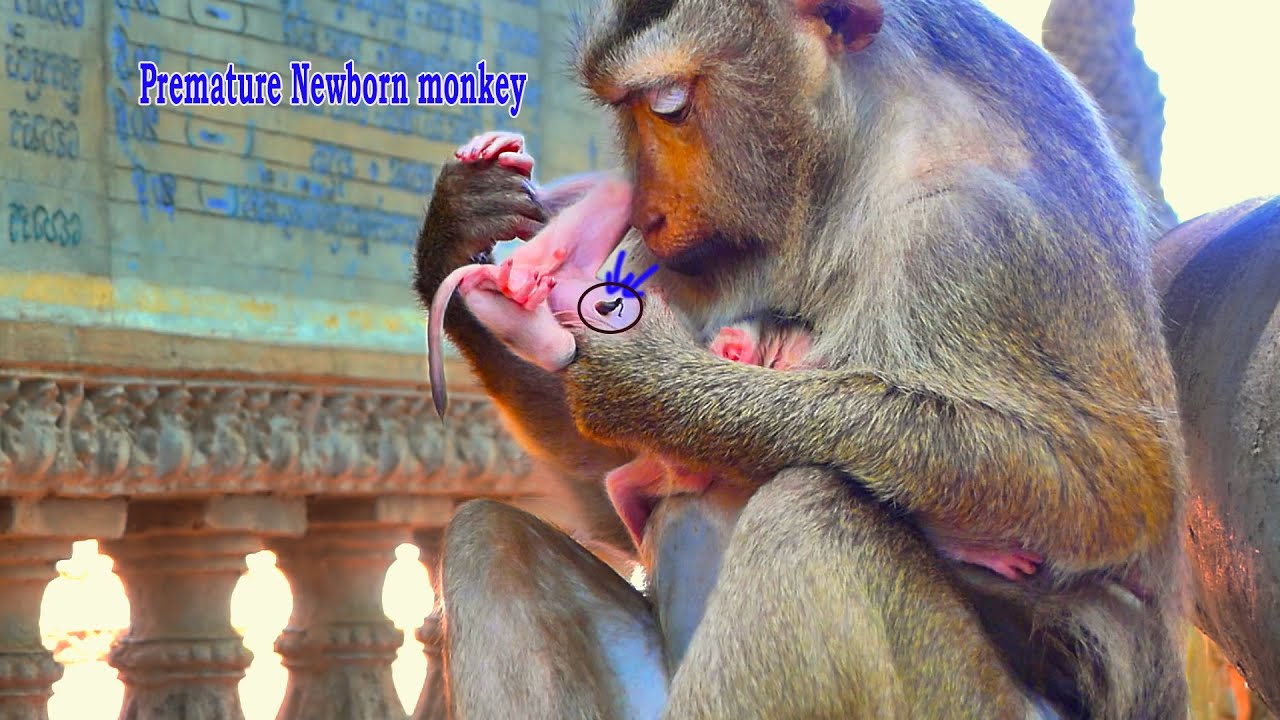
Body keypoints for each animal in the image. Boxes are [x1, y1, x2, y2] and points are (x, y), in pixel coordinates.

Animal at [415, 1, 1191, 716]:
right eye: (625, 109)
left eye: (671, 107)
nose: (646, 210)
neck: (843, 157)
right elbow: (601, 481)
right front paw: (460, 230)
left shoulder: (976, 234)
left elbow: (1101, 492)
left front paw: (643, 379)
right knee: (493, 536)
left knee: (810, 514)